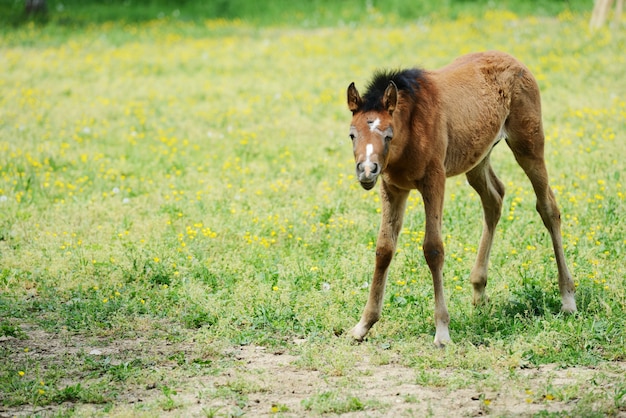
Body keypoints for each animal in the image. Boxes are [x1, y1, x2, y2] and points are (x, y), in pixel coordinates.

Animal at [346, 51, 576, 346]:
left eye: (388, 135)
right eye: (352, 135)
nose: (367, 170)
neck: (411, 128)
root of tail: (515, 60)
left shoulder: (434, 181)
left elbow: (433, 249)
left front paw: (442, 331)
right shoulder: (392, 187)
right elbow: (384, 248)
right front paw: (363, 325)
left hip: (529, 145)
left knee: (548, 207)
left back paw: (567, 298)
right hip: (478, 157)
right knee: (494, 198)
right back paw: (479, 291)